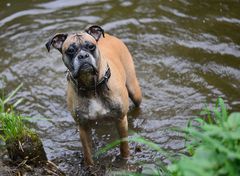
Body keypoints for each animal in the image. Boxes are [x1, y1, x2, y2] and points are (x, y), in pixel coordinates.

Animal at [46, 25, 142, 166]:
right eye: (70, 50)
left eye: (91, 47)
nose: (83, 55)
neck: (92, 88)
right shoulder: (83, 127)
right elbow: (87, 152)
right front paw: (89, 166)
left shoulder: (121, 120)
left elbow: (124, 146)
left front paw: (125, 160)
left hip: (134, 91)